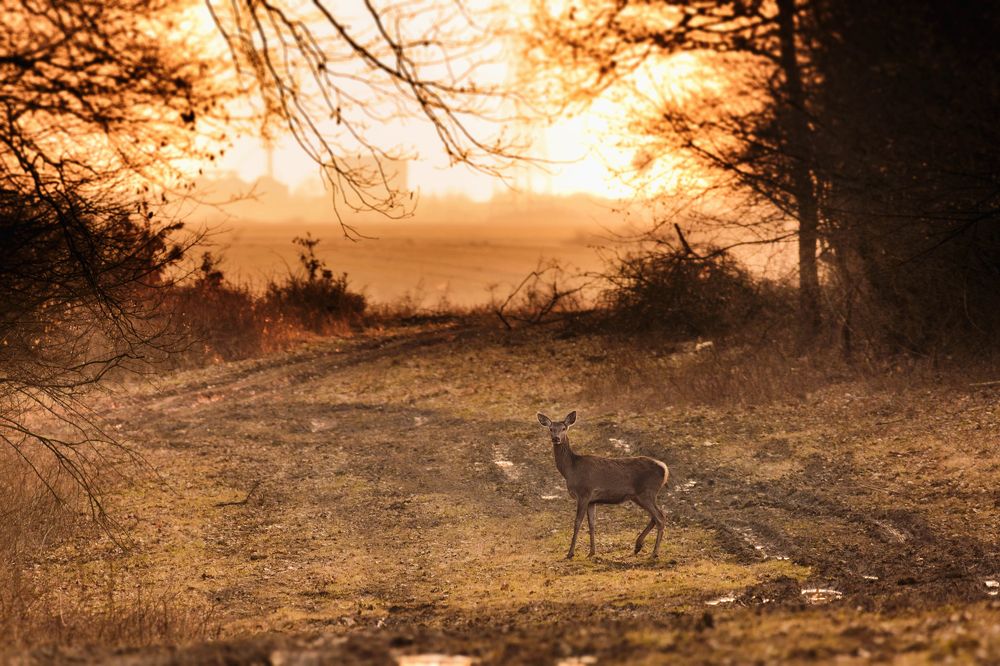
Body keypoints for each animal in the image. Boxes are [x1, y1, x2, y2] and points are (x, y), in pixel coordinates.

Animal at [537, 410, 669, 560]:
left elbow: (577, 522)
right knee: (655, 516)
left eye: (564, 428)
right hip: (640, 496)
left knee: (660, 517)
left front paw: (570, 553)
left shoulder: (584, 492)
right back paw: (638, 546)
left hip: (646, 492)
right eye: (550, 428)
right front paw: (592, 552)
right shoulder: (592, 500)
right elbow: (592, 524)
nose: (556, 438)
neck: (571, 470)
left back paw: (654, 553)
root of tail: (665, 469)